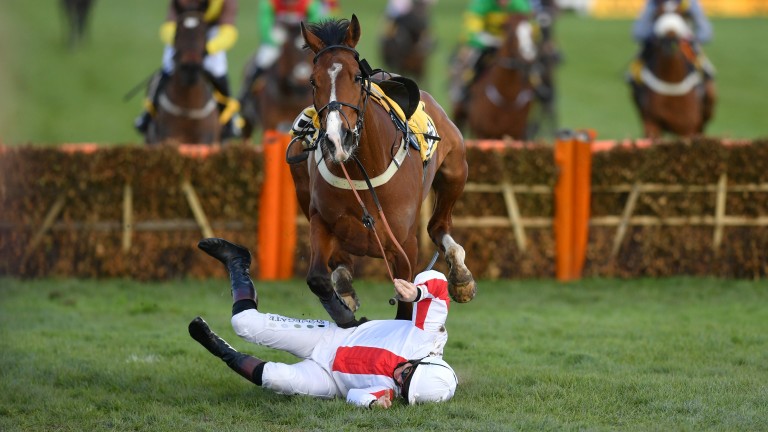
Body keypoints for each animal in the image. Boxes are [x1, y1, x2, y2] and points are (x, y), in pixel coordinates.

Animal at [292, 15, 476, 328]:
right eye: (312, 80)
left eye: (356, 76)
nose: (337, 139)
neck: (361, 173)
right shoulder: (321, 220)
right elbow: (318, 278)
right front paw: (347, 314)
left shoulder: (405, 245)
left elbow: (406, 303)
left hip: (455, 171)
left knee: (438, 226)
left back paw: (461, 276)